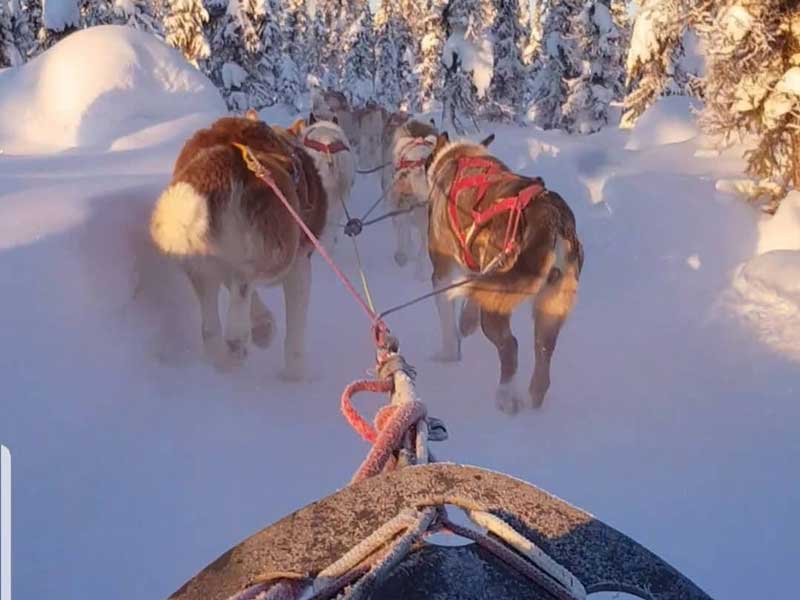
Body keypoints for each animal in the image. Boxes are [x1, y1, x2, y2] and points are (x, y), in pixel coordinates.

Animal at [149, 114, 327, 379]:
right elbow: (295, 332)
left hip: (199, 261)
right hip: (279, 253)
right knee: (243, 289)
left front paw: (263, 325)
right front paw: (296, 375)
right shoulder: (300, 264)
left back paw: (232, 355)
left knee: (211, 329)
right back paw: (241, 339)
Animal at [425, 132, 583, 412]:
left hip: (498, 308)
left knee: (510, 346)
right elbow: (469, 303)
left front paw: (447, 355)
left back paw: (505, 397)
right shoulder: (479, 272)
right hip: (550, 307)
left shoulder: (441, 272)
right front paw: (466, 323)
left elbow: (448, 325)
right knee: (543, 355)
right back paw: (533, 400)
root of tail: (550, 217)